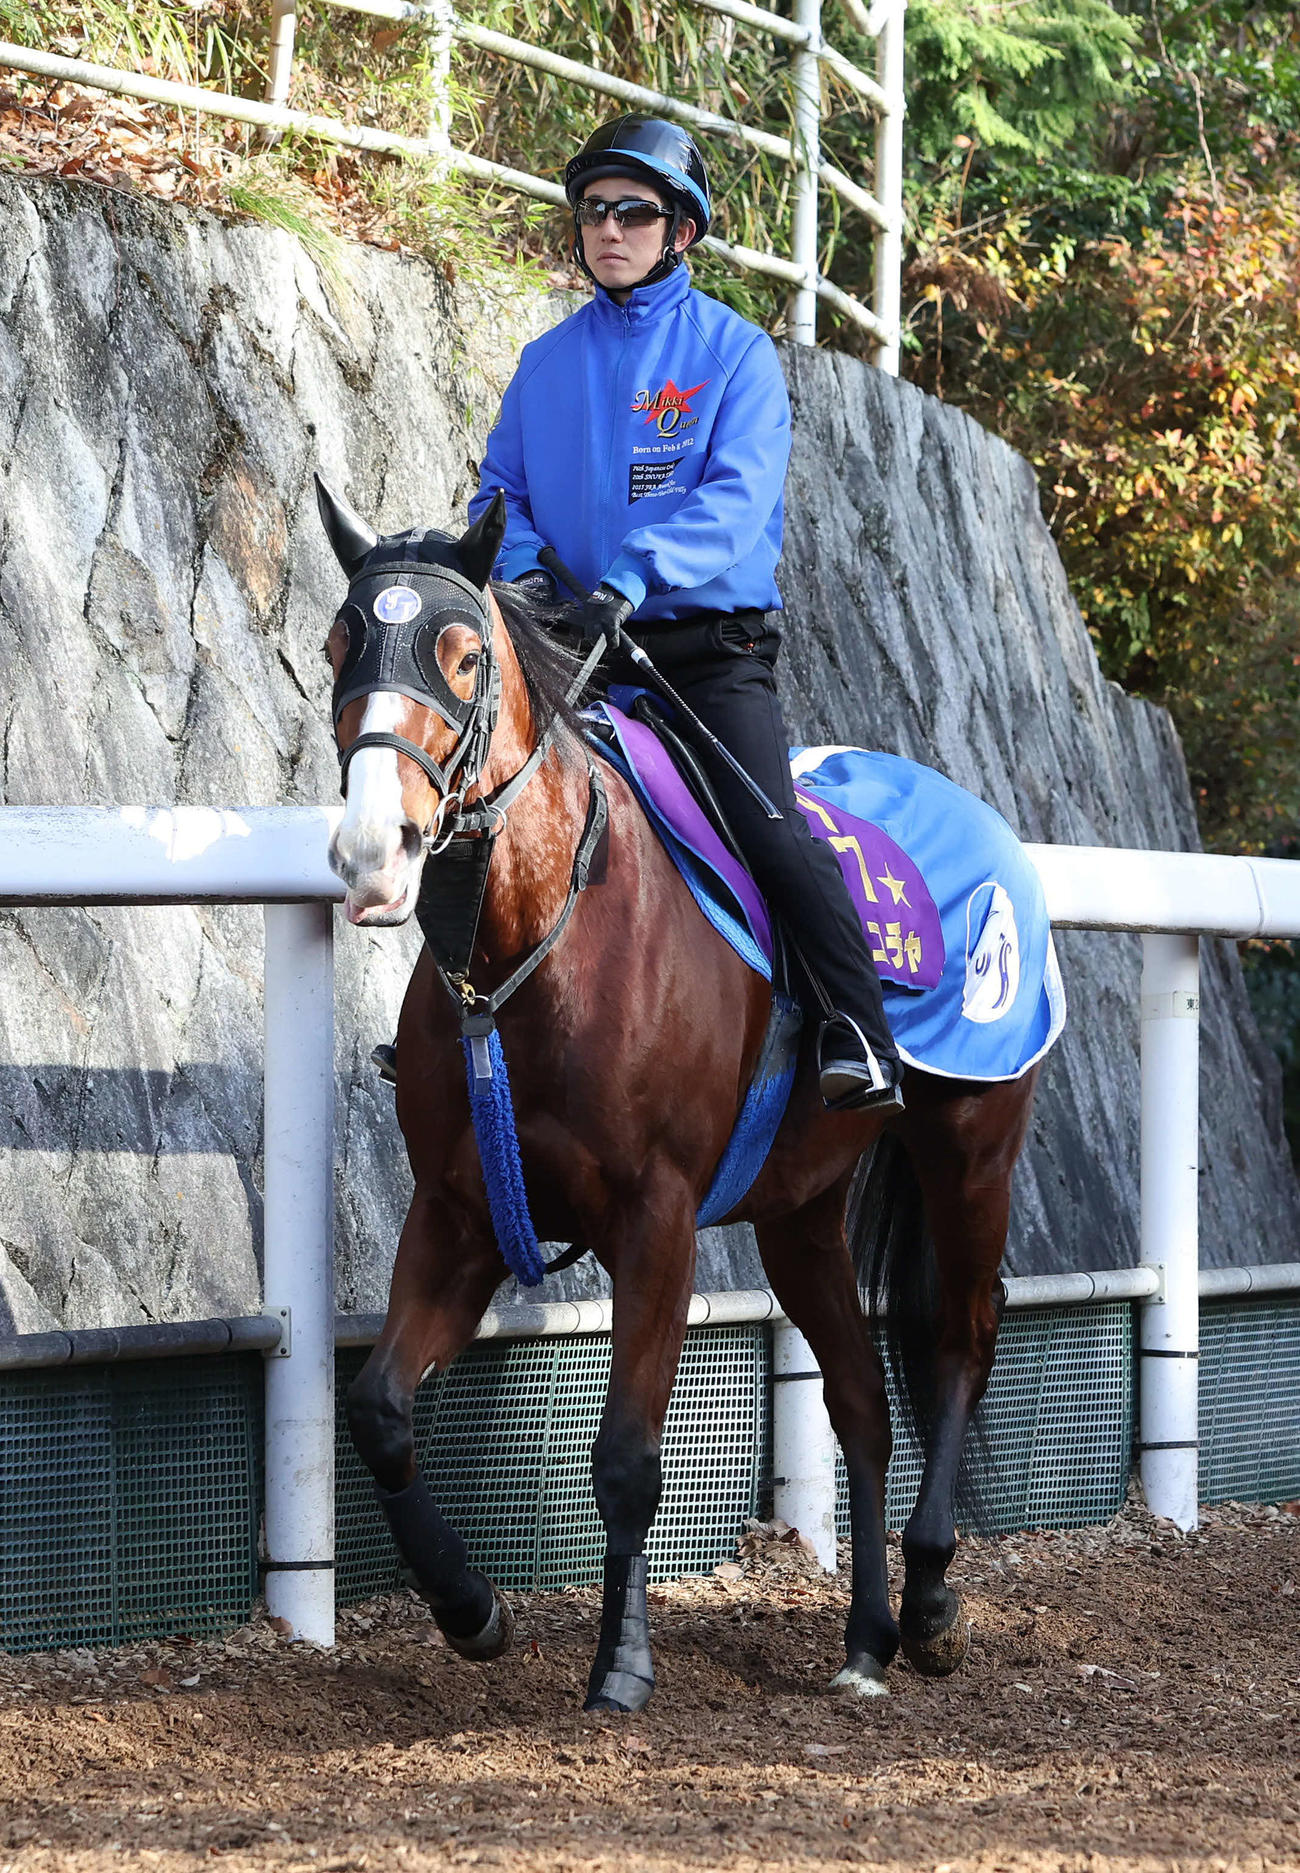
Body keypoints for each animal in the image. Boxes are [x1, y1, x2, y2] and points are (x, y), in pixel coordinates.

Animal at [317, 478, 1040, 1713]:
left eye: (463, 655)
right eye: (336, 647)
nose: (375, 849)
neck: (539, 943)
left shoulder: (656, 1220)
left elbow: (624, 1456)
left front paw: (622, 1664)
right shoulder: (461, 1211)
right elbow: (379, 1410)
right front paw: (471, 1608)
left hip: (970, 1149)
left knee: (960, 1341)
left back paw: (935, 1598)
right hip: (802, 1214)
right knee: (861, 1399)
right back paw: (865, 1638)